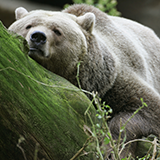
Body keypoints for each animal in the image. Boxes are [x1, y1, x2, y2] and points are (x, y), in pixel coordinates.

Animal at [8, 3, 160, 159]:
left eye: (57, 31)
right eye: (28, 25)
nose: (38, 36)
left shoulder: (114, 80)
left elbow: (147, 107)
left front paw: (113, 150)